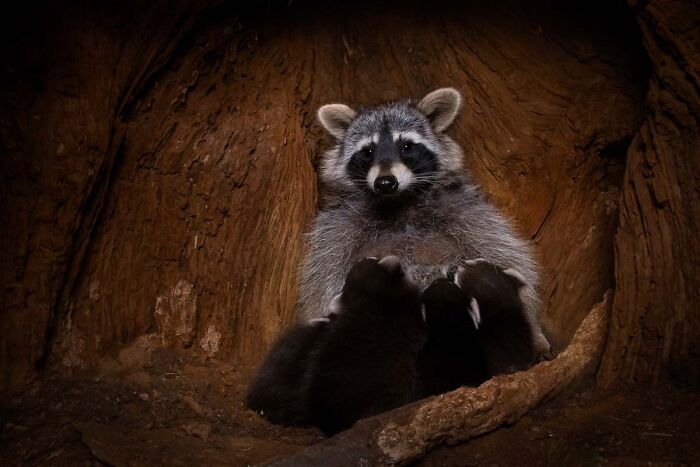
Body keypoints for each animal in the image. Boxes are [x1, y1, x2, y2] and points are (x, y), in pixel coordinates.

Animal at [298, 88, 552, 362]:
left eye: (406, 146)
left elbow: (503, 252)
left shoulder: (464, 208)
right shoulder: (338, 223)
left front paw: (532, 324)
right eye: (367, 152)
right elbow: (324, 276)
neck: (399, 201)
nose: (385, 182)